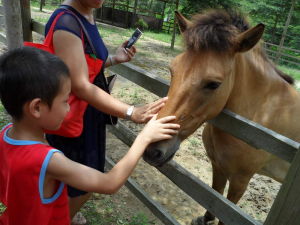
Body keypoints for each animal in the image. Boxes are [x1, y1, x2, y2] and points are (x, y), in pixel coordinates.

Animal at [142, 9, 300, 225]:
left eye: (213, 84)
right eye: (172, 70)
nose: (152, 150)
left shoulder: (240, 181)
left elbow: (227, 213)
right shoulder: (218, 165)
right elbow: (215, 197)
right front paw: (206, 219)